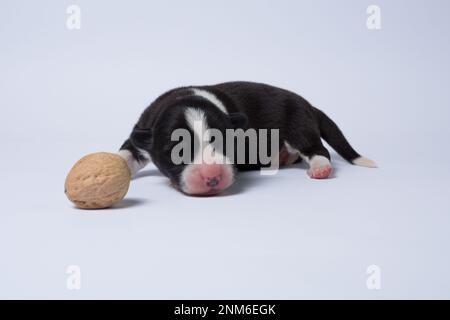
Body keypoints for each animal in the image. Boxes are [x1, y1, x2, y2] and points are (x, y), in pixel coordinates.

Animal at [118, 81, 374, 195]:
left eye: (225, 143)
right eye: (177, 151)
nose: (212, 178)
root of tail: (310, 105)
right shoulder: (140, 133)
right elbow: (124, 156)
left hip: (298, 125)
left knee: (318, 149)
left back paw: (320, 168)